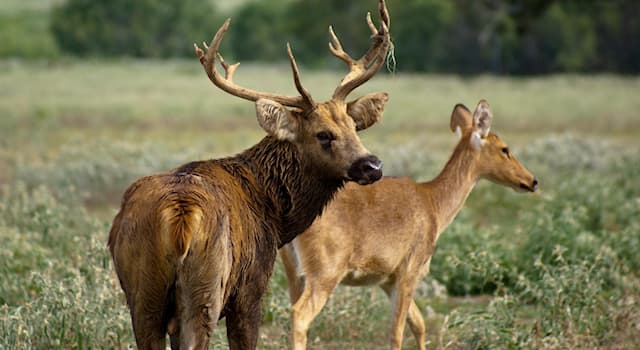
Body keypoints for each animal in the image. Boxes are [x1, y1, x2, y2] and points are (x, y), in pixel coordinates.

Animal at [107, 1, 392, 348]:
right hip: (207, 286)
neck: (275, 215)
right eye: (323, 134)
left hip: (144, 293)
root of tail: (180, 215)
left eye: (353, 126)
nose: (372, 165)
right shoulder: (251, 289)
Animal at [282, 100, 536, 350]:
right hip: (324, 274)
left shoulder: (387, 279)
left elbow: (419, 323)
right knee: (300, 315)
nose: (531, 181)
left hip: (295, 275)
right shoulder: (408, 272)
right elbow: (397, 333)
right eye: (504, 148)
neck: (432, 202)